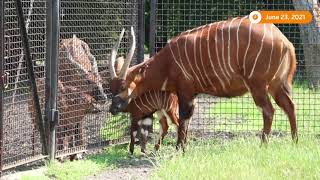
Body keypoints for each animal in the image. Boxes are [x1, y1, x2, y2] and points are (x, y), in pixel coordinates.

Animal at [109, 16, 298, 150]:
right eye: (110, 88)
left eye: (124, 86)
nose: (112, 109)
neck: (167, 62)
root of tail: (285, 41)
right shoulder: (192, 94)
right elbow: (187, 119)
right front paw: (184, 146)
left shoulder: (185, 91)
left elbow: (183, 119)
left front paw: (179, 148)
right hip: (277, 85)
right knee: (289, 106)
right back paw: (295, 141)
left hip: (257, 85)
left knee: (269, 110)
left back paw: (263, 145)